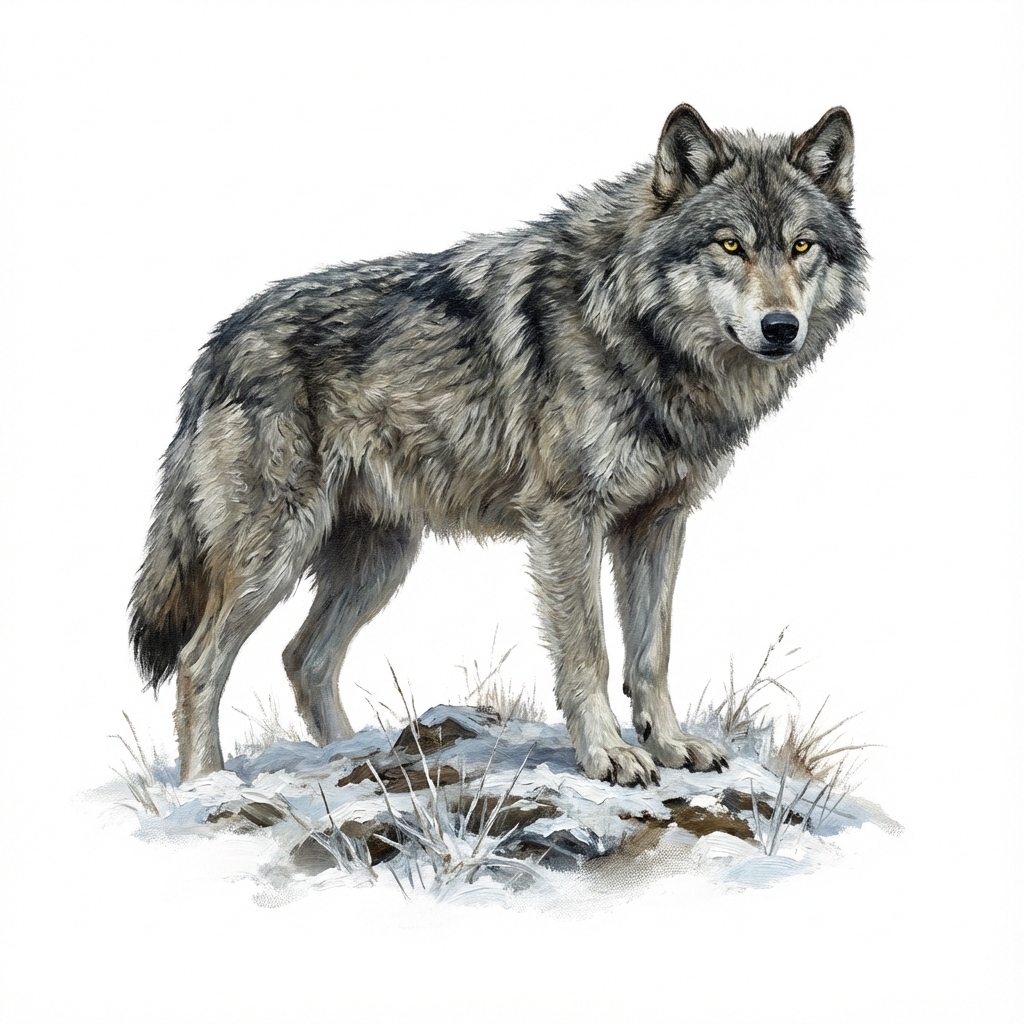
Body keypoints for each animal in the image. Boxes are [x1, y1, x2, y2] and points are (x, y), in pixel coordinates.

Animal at [131, 104, 868, 785]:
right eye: (730, 245)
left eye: (802, 247)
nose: (781, 327)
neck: (636, 330)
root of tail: (219, 342)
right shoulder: (567, 519)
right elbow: (590, 653)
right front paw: (608, 755)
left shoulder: (658, 521)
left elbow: (651, 654)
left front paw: (671, 745)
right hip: (278, 554)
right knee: (200, 663)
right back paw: (206, 785)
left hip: (380, 560)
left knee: (304, 659)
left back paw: (354, 759)